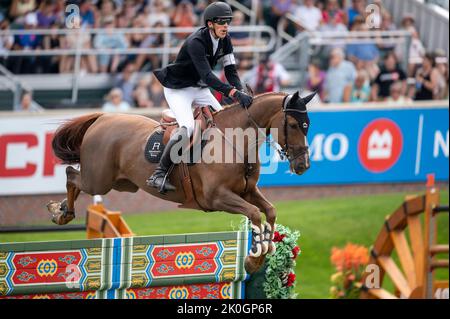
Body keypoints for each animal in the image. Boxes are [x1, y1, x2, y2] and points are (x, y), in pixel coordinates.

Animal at [45, 91, 312, 274]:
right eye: (293, 125)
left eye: (307, 126)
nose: (303, 166)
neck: (235, 142)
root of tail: (102, 118)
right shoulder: (217, 197)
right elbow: (256, 214)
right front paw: (254, 260)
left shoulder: (247, 191)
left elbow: (270, 211)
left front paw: (262, 253)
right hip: (98, 181)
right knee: (71, 174)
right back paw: (61, 213)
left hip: (121, 183)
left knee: (75, 177)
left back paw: (61, 209)